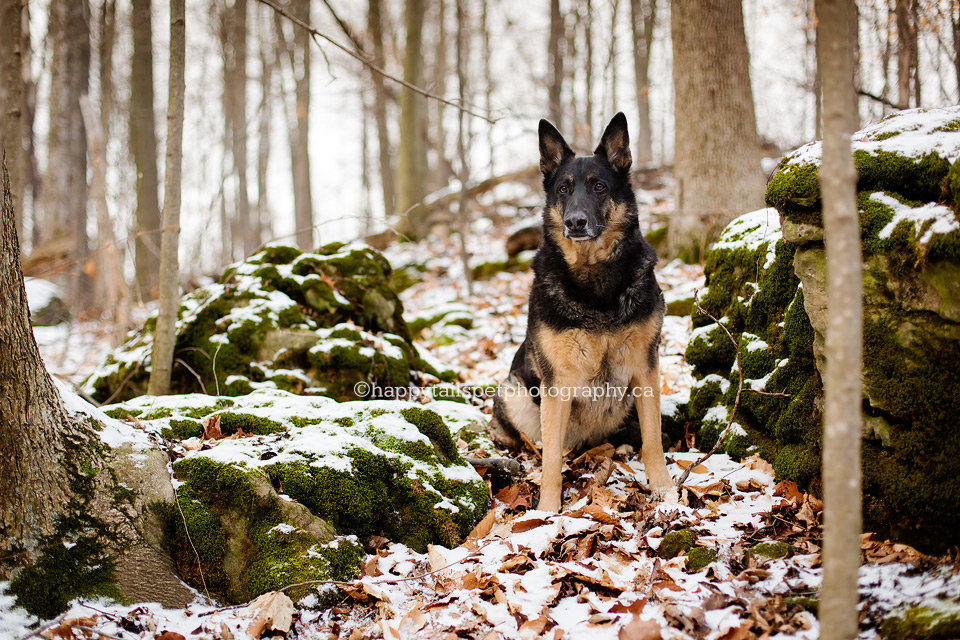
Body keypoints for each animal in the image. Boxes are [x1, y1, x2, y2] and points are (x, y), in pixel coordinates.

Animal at [492, 114, 680, 510]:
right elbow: (550, 461)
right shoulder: (557, 385)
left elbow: (653, 441)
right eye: (563, 189)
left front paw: (665, 491)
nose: (575, 222)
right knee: (541, 445)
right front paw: (548, 511)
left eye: (598, 186)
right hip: (514, 393)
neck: (595, 279)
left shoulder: (645, 370)